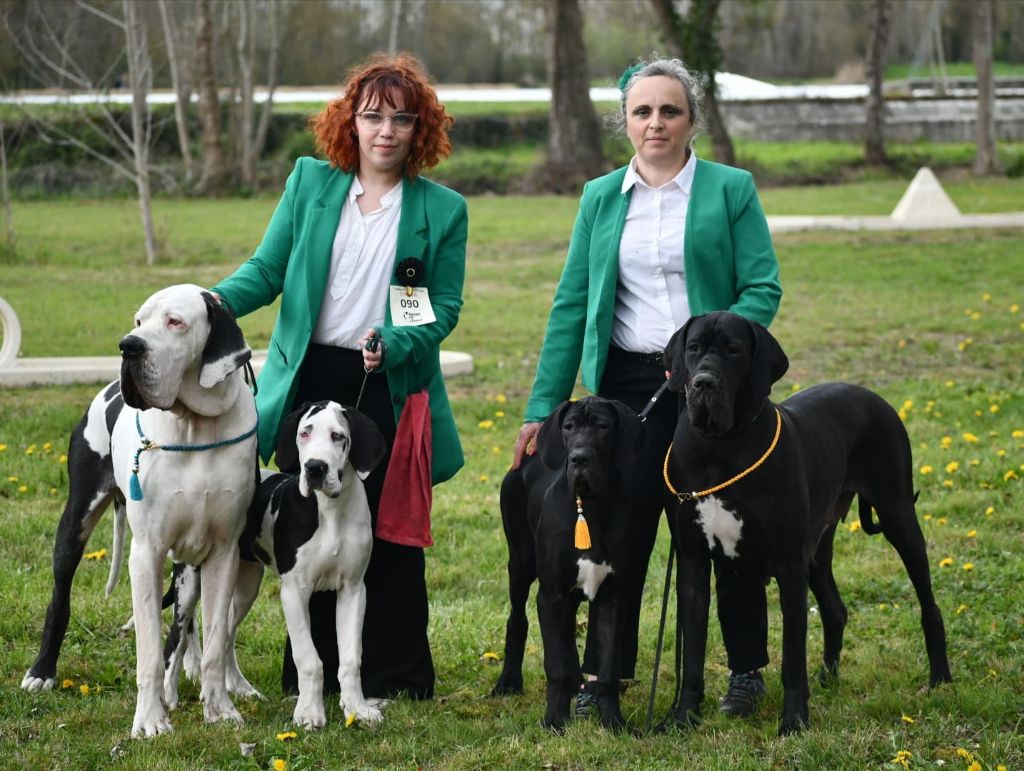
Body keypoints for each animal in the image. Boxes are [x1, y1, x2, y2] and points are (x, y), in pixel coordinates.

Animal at [22, 286, 258, 737]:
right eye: (138, 321)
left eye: (175, 322)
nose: (128, 346)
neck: (193, 425)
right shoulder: (147, 552)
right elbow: (148, 649)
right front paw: (150, 719)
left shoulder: (224, 552)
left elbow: (217, 641)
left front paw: (219, 710)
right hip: (75, 520)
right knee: (60, 596)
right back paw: (42, 671)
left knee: (188, 619)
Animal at [491, 397, 643, 729]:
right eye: (569, 426)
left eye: (603, 426)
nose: (579, 458)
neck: (590, 507)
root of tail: (528, 456)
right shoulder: (550, 596)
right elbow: (556, 665)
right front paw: (554, 720)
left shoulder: (612, 597)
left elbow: (608, 669)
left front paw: (613, 722)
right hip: (520, 564)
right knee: (517, 619)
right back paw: (508, 682)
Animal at [663, 311, 950, 733]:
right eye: (694, 348)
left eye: (733, 350)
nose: (703, 383)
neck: (720, 447)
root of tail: (872, 395)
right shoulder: (694, 564)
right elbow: (692, 656)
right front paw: (683, 716)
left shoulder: (788, 565)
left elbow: (792, 657)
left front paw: (795, 721)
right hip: (817, 548)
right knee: (835, 609)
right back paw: (829, 679)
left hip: (898, 518)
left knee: (928, 603)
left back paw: (940, 677)